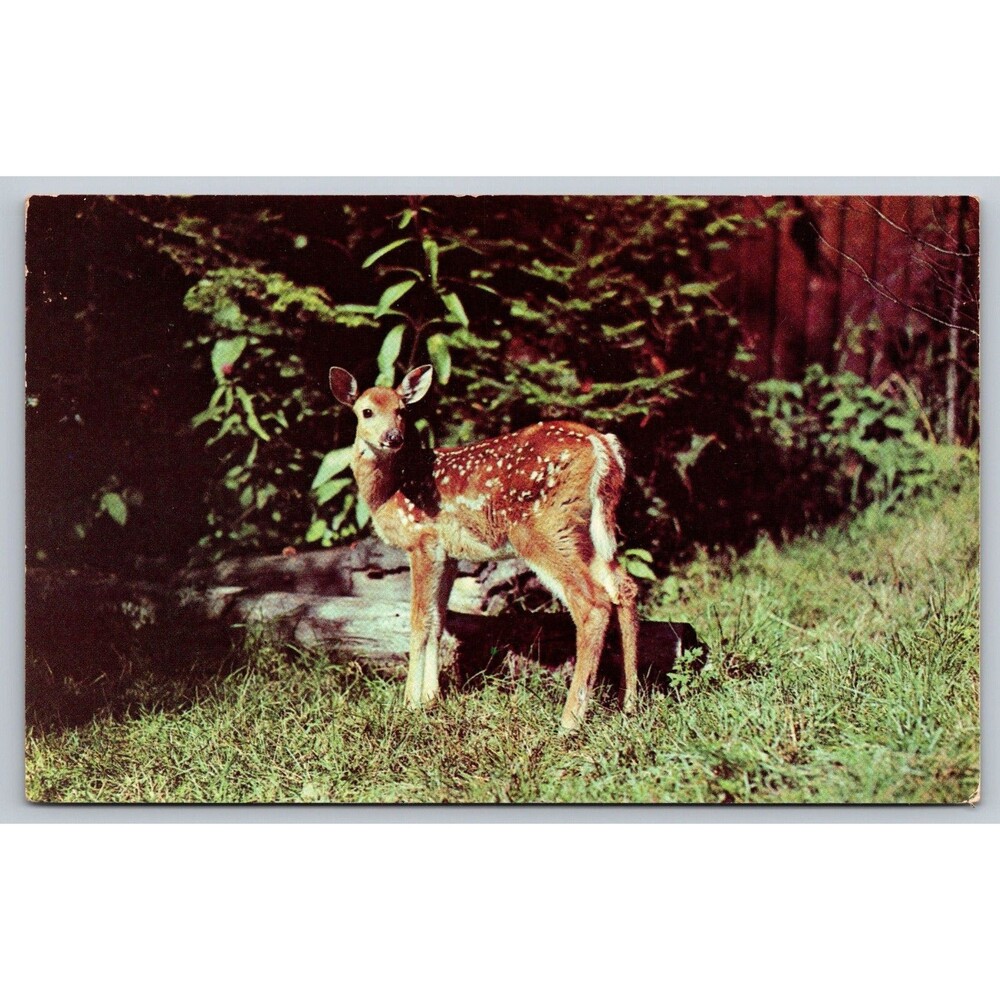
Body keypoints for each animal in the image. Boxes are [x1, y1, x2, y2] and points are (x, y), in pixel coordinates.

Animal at [328, 364, 639, 731]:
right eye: (366, 411)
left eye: (401, 410)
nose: (392, 437)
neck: (391, 489)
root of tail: (603, 445)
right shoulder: (448, 554)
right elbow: (438, 620)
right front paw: (431, 699)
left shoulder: (423, 541)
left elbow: (418, 621)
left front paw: (409, 704)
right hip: (589, 530)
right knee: (624, 587)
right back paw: (630, 705)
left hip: (542, 527)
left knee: (592, 602)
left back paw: (569, 721)